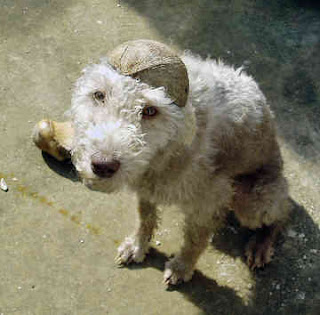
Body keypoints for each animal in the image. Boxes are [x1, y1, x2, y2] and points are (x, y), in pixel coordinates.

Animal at [33, 39, 290, 286]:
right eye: (99, 95)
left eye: (150, 110)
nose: (103, 165)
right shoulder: (146, 188)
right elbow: (145, 217)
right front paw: (137, 246)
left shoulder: (208, 202)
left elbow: (194, 241)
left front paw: (182, 268)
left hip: (253, 201)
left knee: (282, 214)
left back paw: (261, 244)